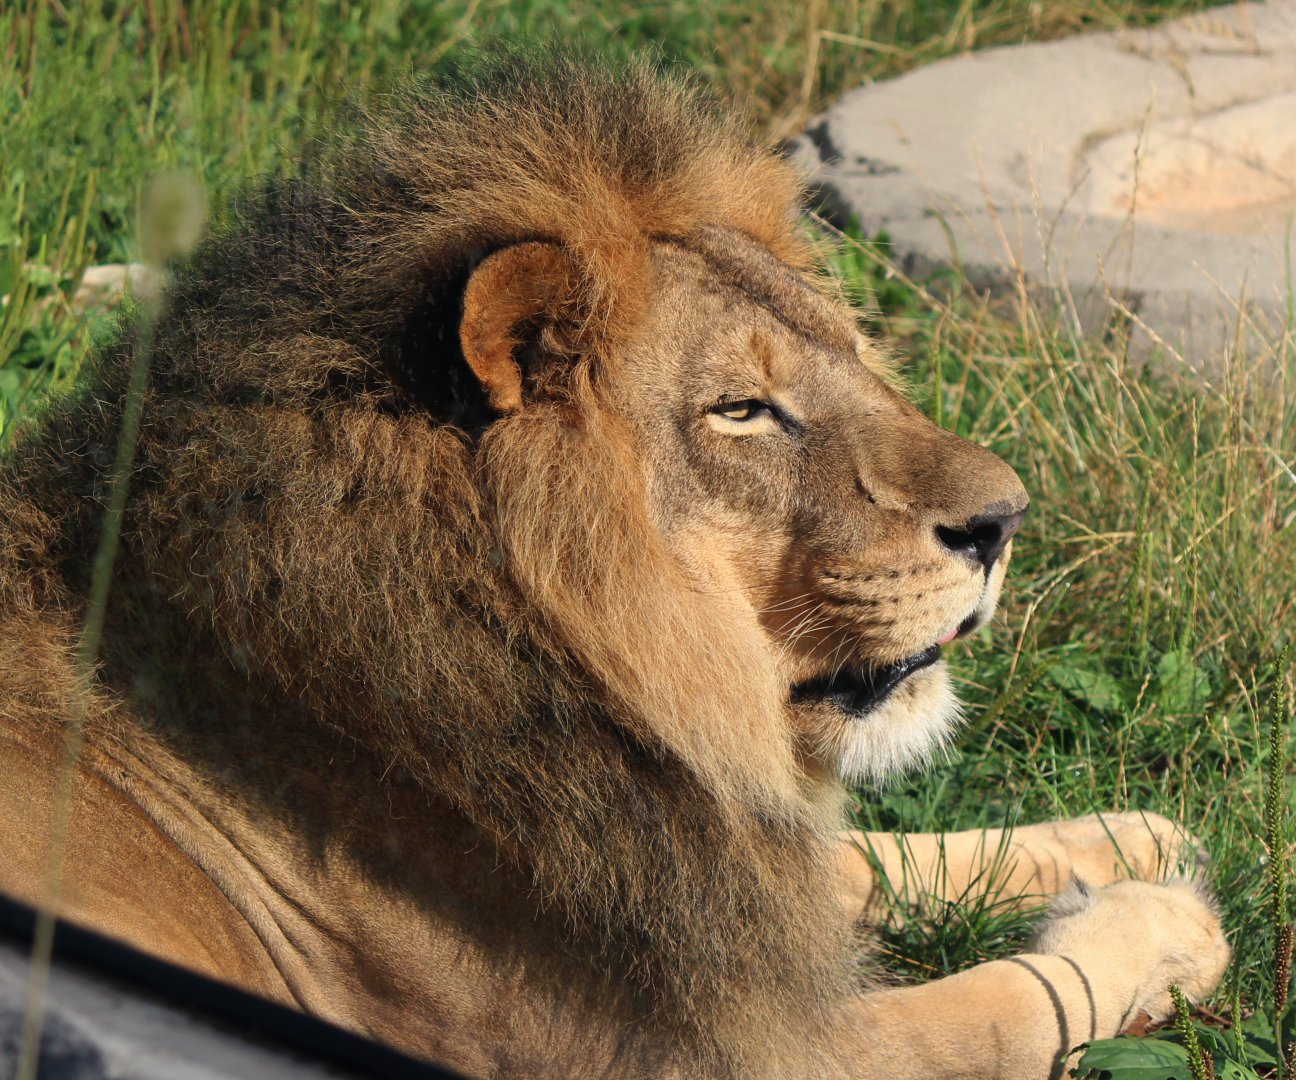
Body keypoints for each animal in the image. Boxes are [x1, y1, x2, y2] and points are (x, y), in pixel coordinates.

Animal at [0, 54, 1228, 1079]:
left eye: (848, 351)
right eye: (742, 410)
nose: (1004, 521)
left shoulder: (701, 877)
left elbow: (862, 860)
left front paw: (1130, 841)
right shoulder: (723, 1052)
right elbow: (1007, 1005)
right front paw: (1167, 921)